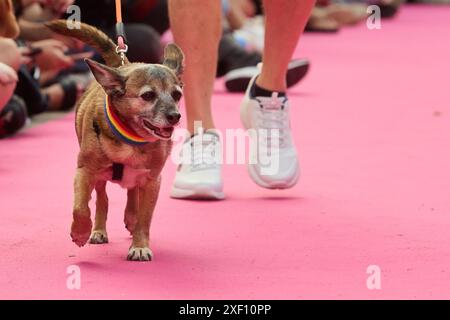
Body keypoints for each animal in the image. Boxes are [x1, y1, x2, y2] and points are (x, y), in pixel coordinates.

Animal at [46, 20, 184, 262]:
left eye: (177, 95)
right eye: (148, 96)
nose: (175, 116)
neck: (132, 139)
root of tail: (124, 64)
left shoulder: (152, 181)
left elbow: (144, 218)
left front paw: (140, 245)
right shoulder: (84, 172)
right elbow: (81, 208)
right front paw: (80, 232)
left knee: (132, 194)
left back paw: (130, 216)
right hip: (99, 178)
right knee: (102, 199)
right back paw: (98, 230)